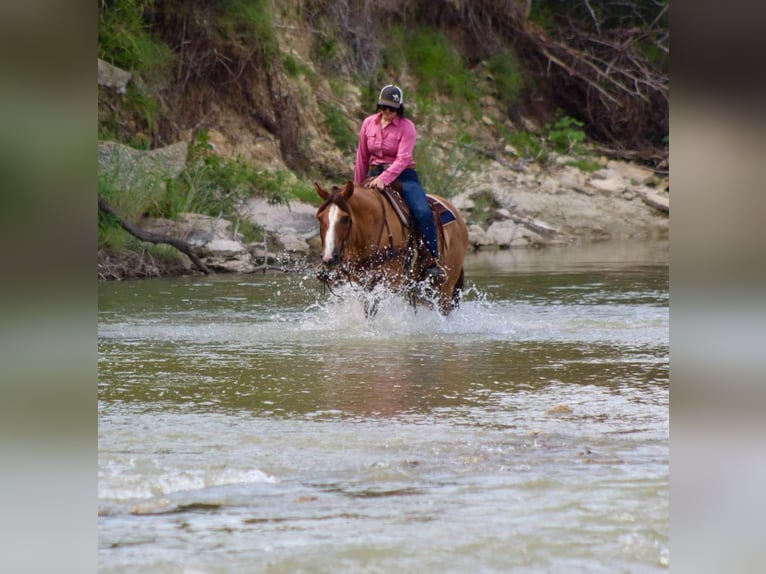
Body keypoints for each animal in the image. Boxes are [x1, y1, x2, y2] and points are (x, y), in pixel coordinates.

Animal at [314, 180, 469, 315]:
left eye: (345, 218)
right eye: (320, 218)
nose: (329, 258)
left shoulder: (390, 280)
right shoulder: (361, 281)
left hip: (446, 287)